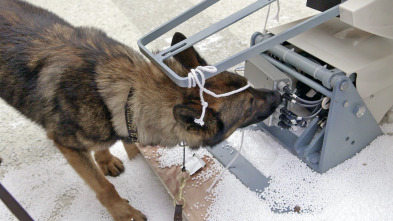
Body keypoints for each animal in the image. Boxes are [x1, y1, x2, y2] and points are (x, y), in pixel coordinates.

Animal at [0, 0, 282, 220]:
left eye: (248, 83)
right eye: (249, 104)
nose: (278, 95)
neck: (128, 95)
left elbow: (102, 148)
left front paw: (104, 158)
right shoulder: (67, 146)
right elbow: (104, 187)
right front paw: (124, 213)